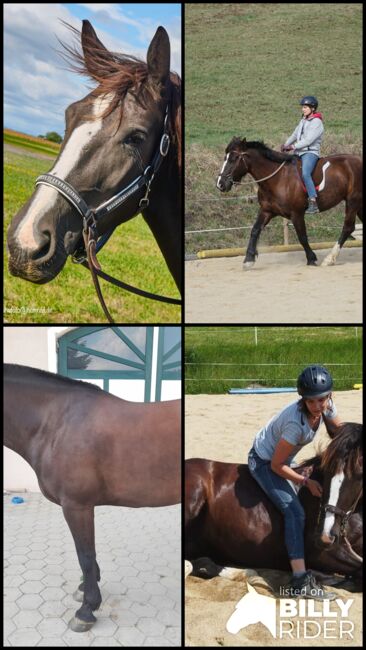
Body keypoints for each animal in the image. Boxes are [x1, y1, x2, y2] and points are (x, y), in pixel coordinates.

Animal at [2, 362, 180, 632]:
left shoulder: (76, 505)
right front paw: (85, 588)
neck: (55, 423)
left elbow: (85, 555)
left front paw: (87, 609)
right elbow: (87, 554)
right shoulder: (83, 507)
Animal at [216, 138, 362, 268]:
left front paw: (311, 258)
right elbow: (255, 230)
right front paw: (248, 260)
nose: (220, 184)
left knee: (348, 228)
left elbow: (302, 236)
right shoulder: (266, 211)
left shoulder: (296, 214)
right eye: (225, 158)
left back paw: (329, 259)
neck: (278, 178)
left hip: (353, 201)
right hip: (358, 204)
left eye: (234, 158)